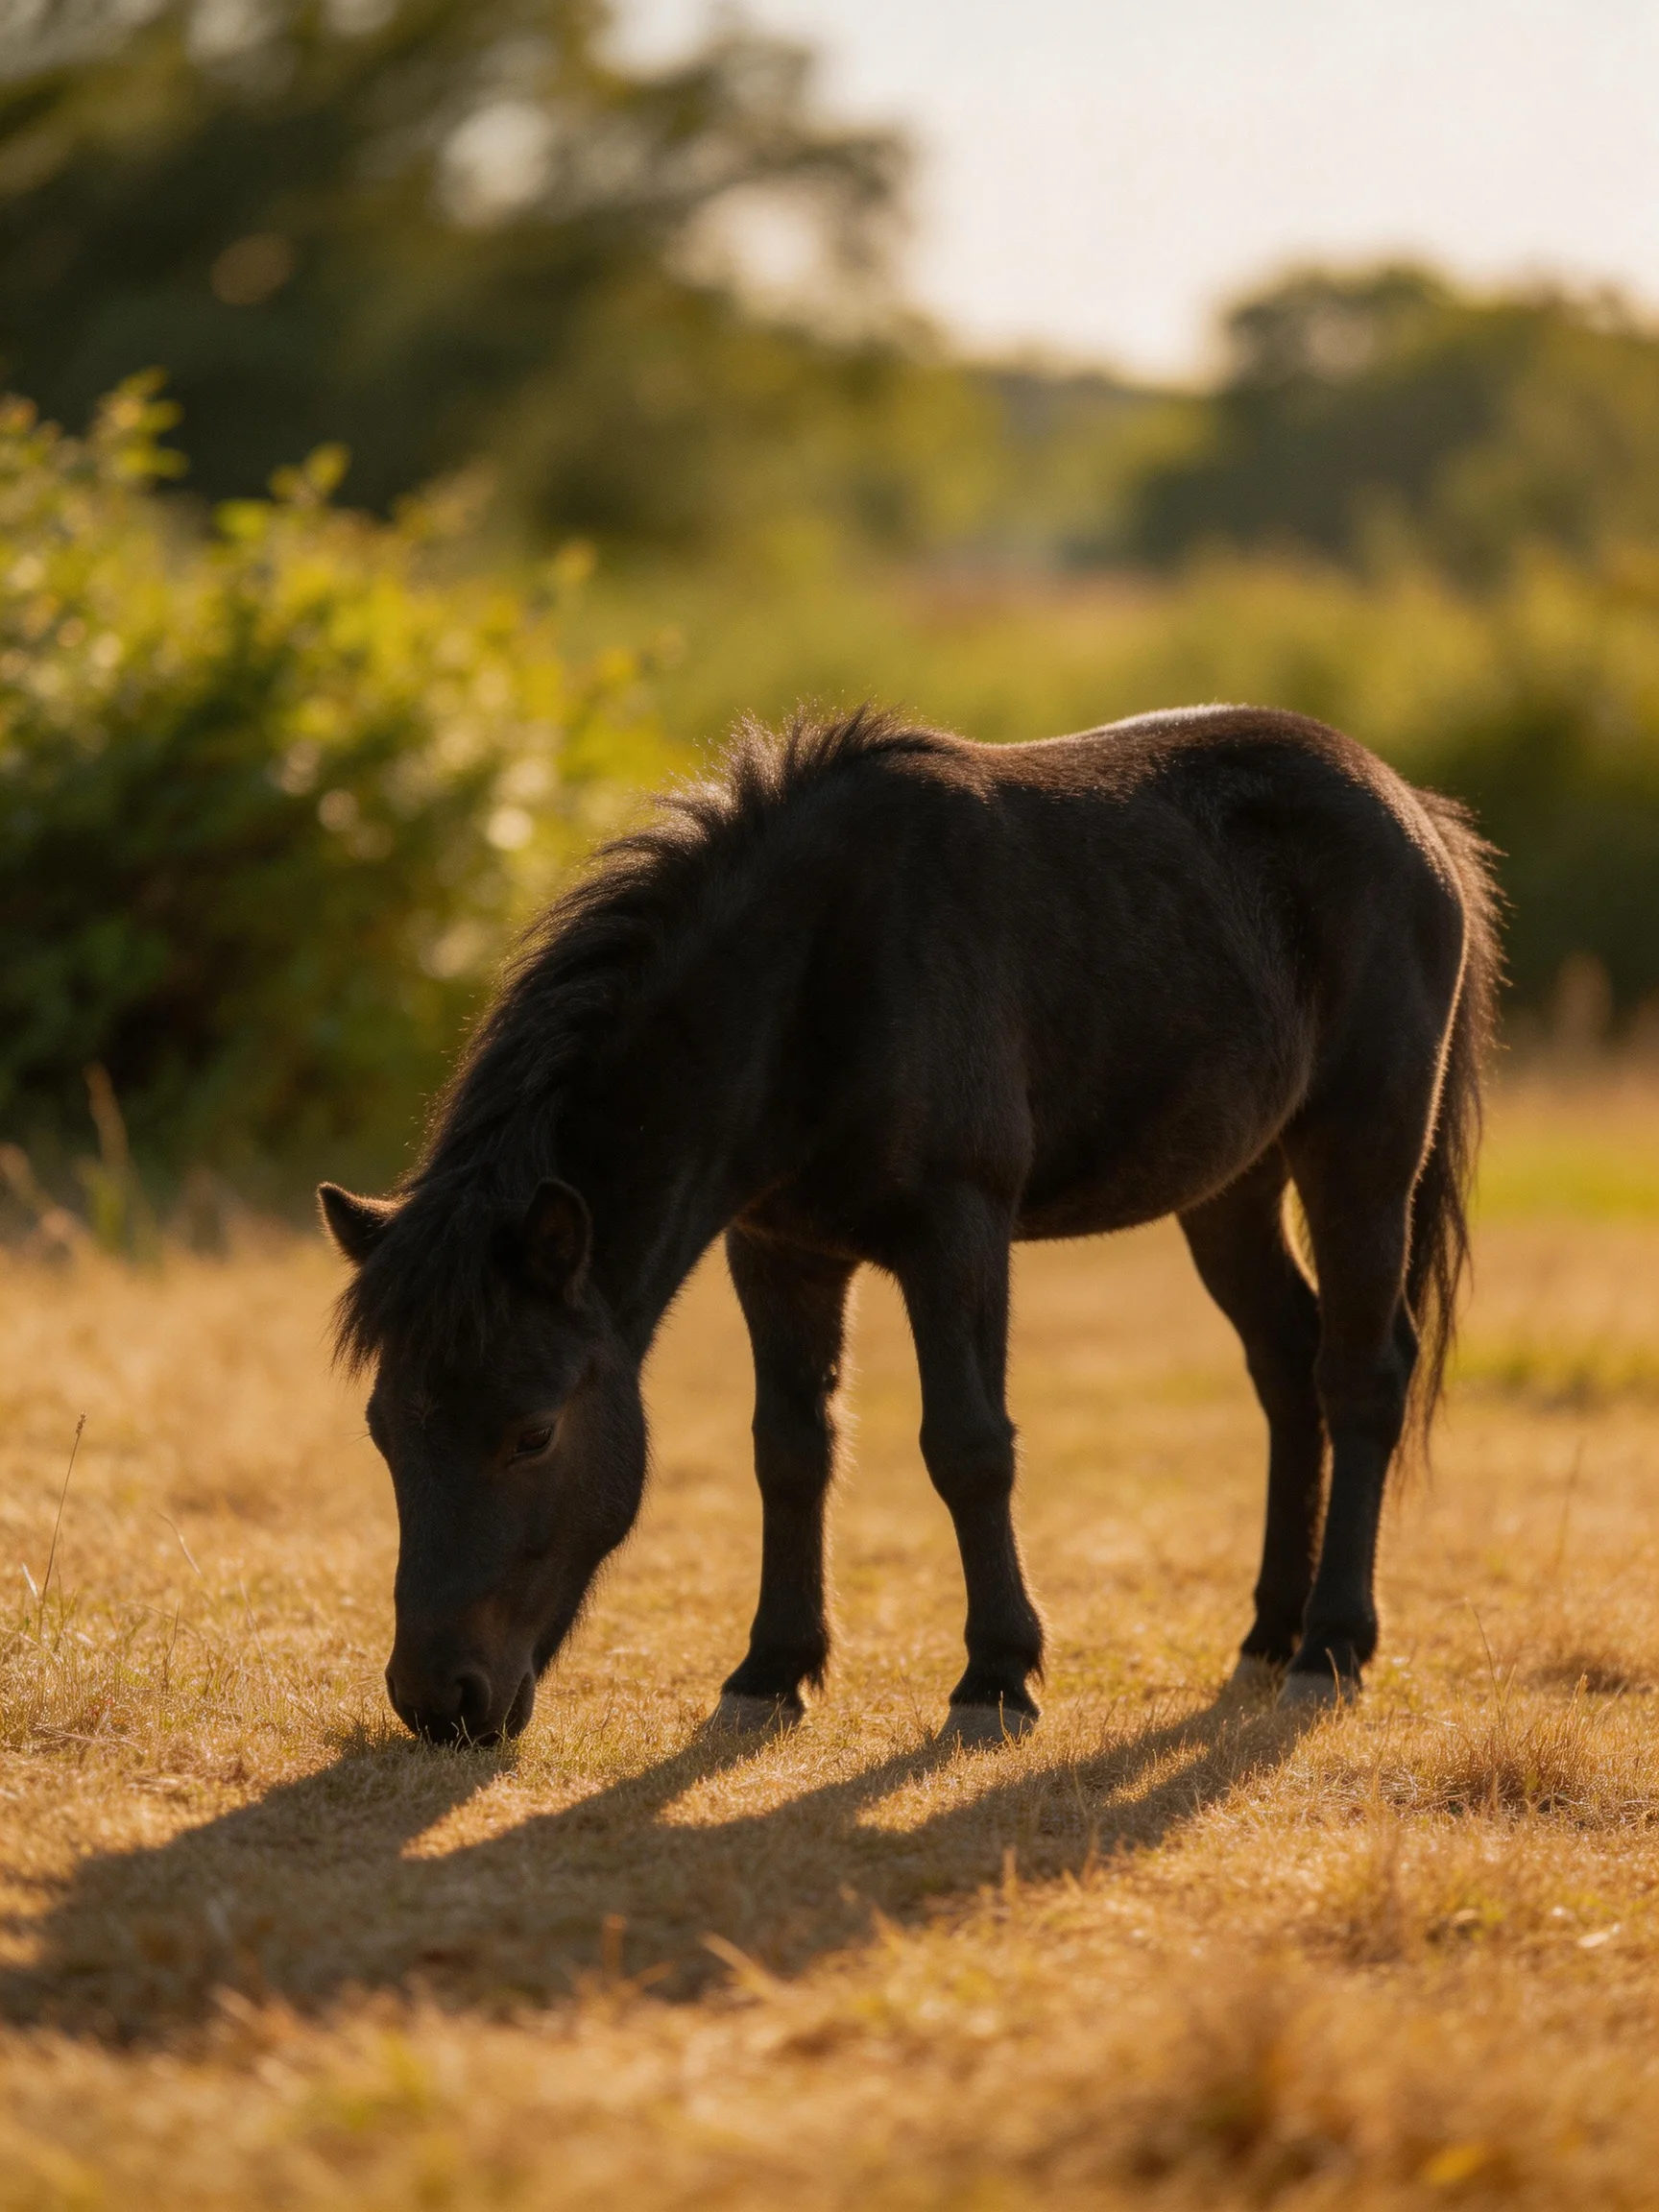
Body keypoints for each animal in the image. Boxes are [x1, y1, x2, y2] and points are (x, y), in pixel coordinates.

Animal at [320, 704, 1499, 1747]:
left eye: (533, 1433)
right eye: (382, 1432)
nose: (440, 1701)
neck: (817, 975)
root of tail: (1414, 809)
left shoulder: (956, 1234)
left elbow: (968, 1447)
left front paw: (996, 1678)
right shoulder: (779, 1249)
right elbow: (791, 1449)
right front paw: (770, 1672)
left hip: (1361, 1153)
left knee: (1360, 1376)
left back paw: (1330, 1648)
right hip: (1229, 1188)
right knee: (1287, 1366)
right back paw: (1267, 1636)